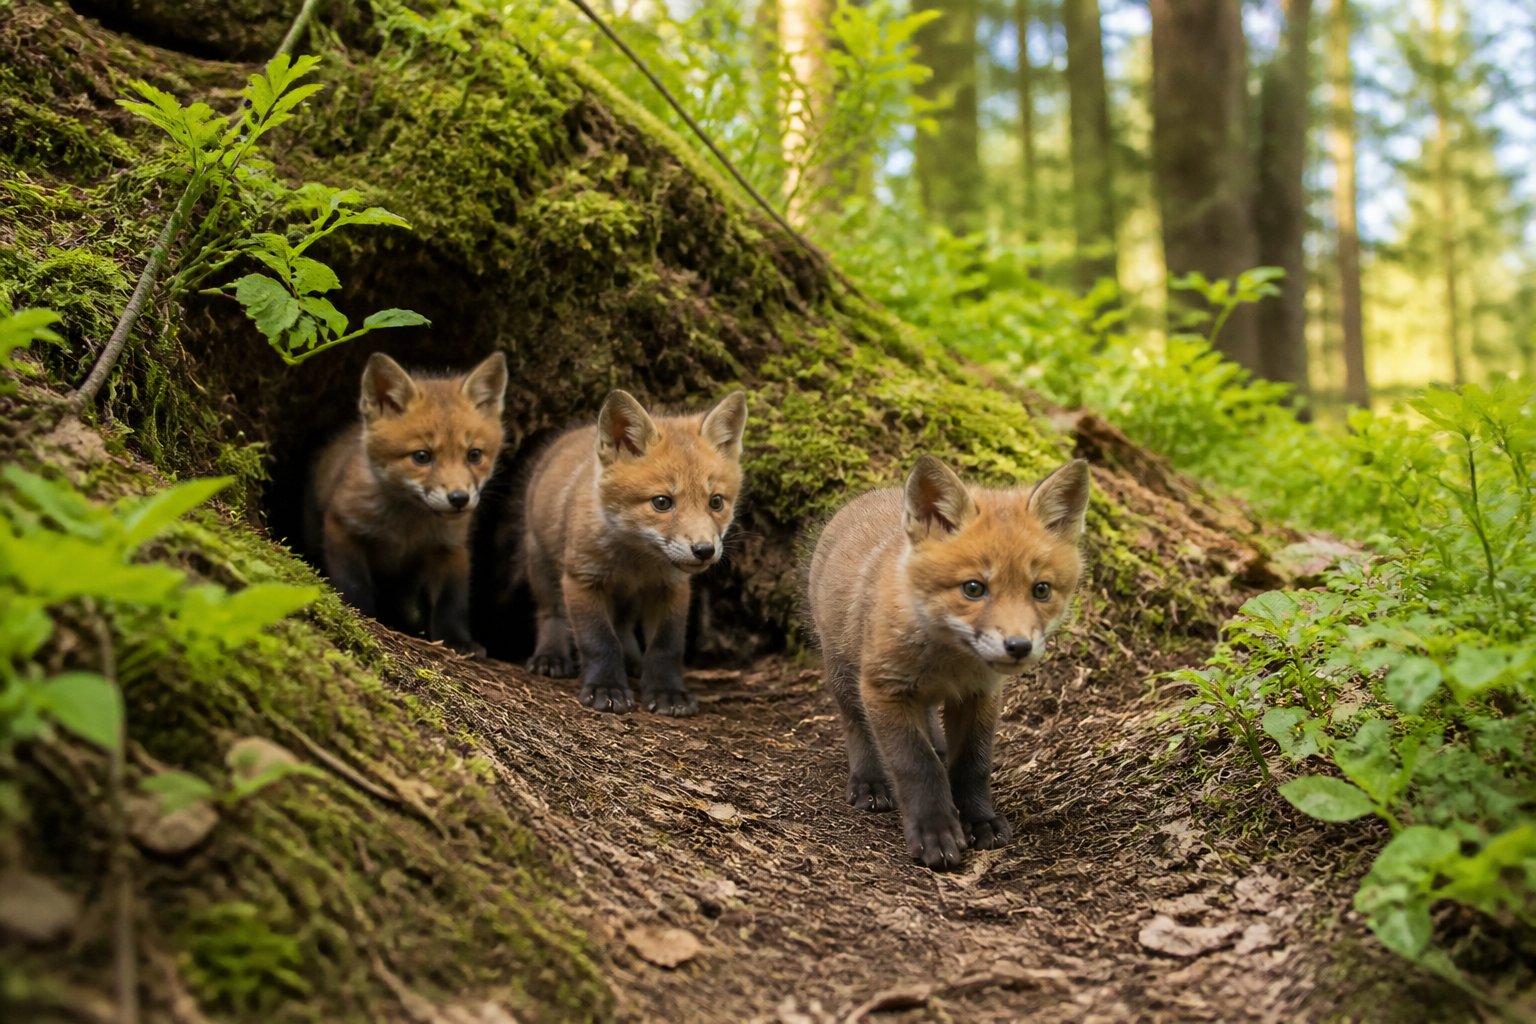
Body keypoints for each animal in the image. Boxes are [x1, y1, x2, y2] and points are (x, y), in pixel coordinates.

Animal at [305, 351, 508, 657]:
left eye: (474, 455)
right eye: (422, 456)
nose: (459, 499)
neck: (407, 528)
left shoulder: (451, 546)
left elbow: (452, 602)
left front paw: (457, 641)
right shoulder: (342, 526)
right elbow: (354, 583)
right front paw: (361, 616)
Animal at [522, 389, 748, 717]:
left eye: (716, 502)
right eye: (662, 502)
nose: (704, 550)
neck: (635, 561)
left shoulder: (672, 587)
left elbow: (666, 647)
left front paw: (668, 693)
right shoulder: (581, 579)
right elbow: (599, 641)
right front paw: (606, 688)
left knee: (625, 627)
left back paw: (632, 662)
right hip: (540, 563)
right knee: (549, 613)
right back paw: (551, 656)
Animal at [805, 454, 1091, 870]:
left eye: (1041, 590)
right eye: (973, 588)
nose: (1018, 646)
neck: (951, 663)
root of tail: (871, 495)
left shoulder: (980, 695)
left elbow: (973, 763)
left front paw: (978, 819)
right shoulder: (883, 688)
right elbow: (916, 764)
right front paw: (934, 831)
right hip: (843, 671)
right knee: (855, 725)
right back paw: (869, 780)